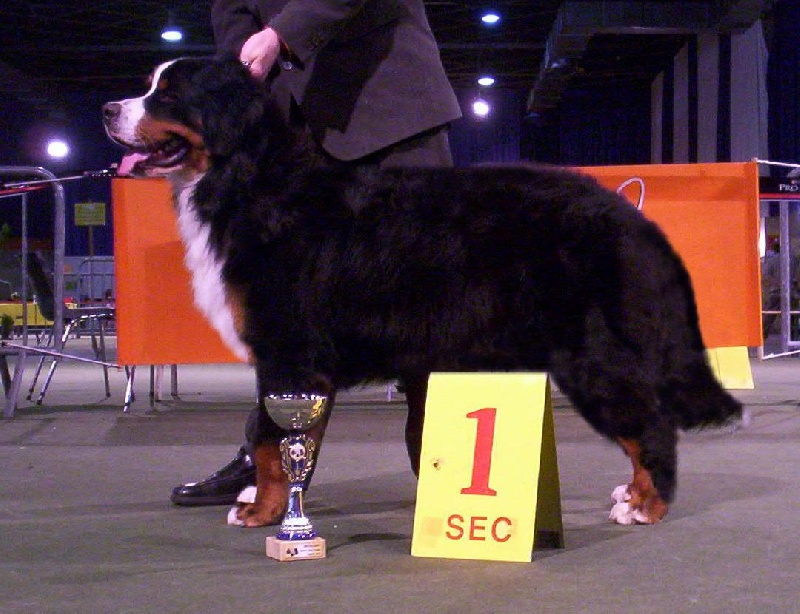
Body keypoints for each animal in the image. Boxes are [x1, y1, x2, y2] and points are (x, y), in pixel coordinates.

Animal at [103, 56, 741, 528]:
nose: (108, 107)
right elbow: (276, 442)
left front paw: (262, 512)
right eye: (149, 87)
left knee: (650, 425)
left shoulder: (288, 352)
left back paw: (646, 505)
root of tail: (633, 217)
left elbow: (270, 443)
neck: (252, 180)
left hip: (595, 355)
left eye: (167, 95)